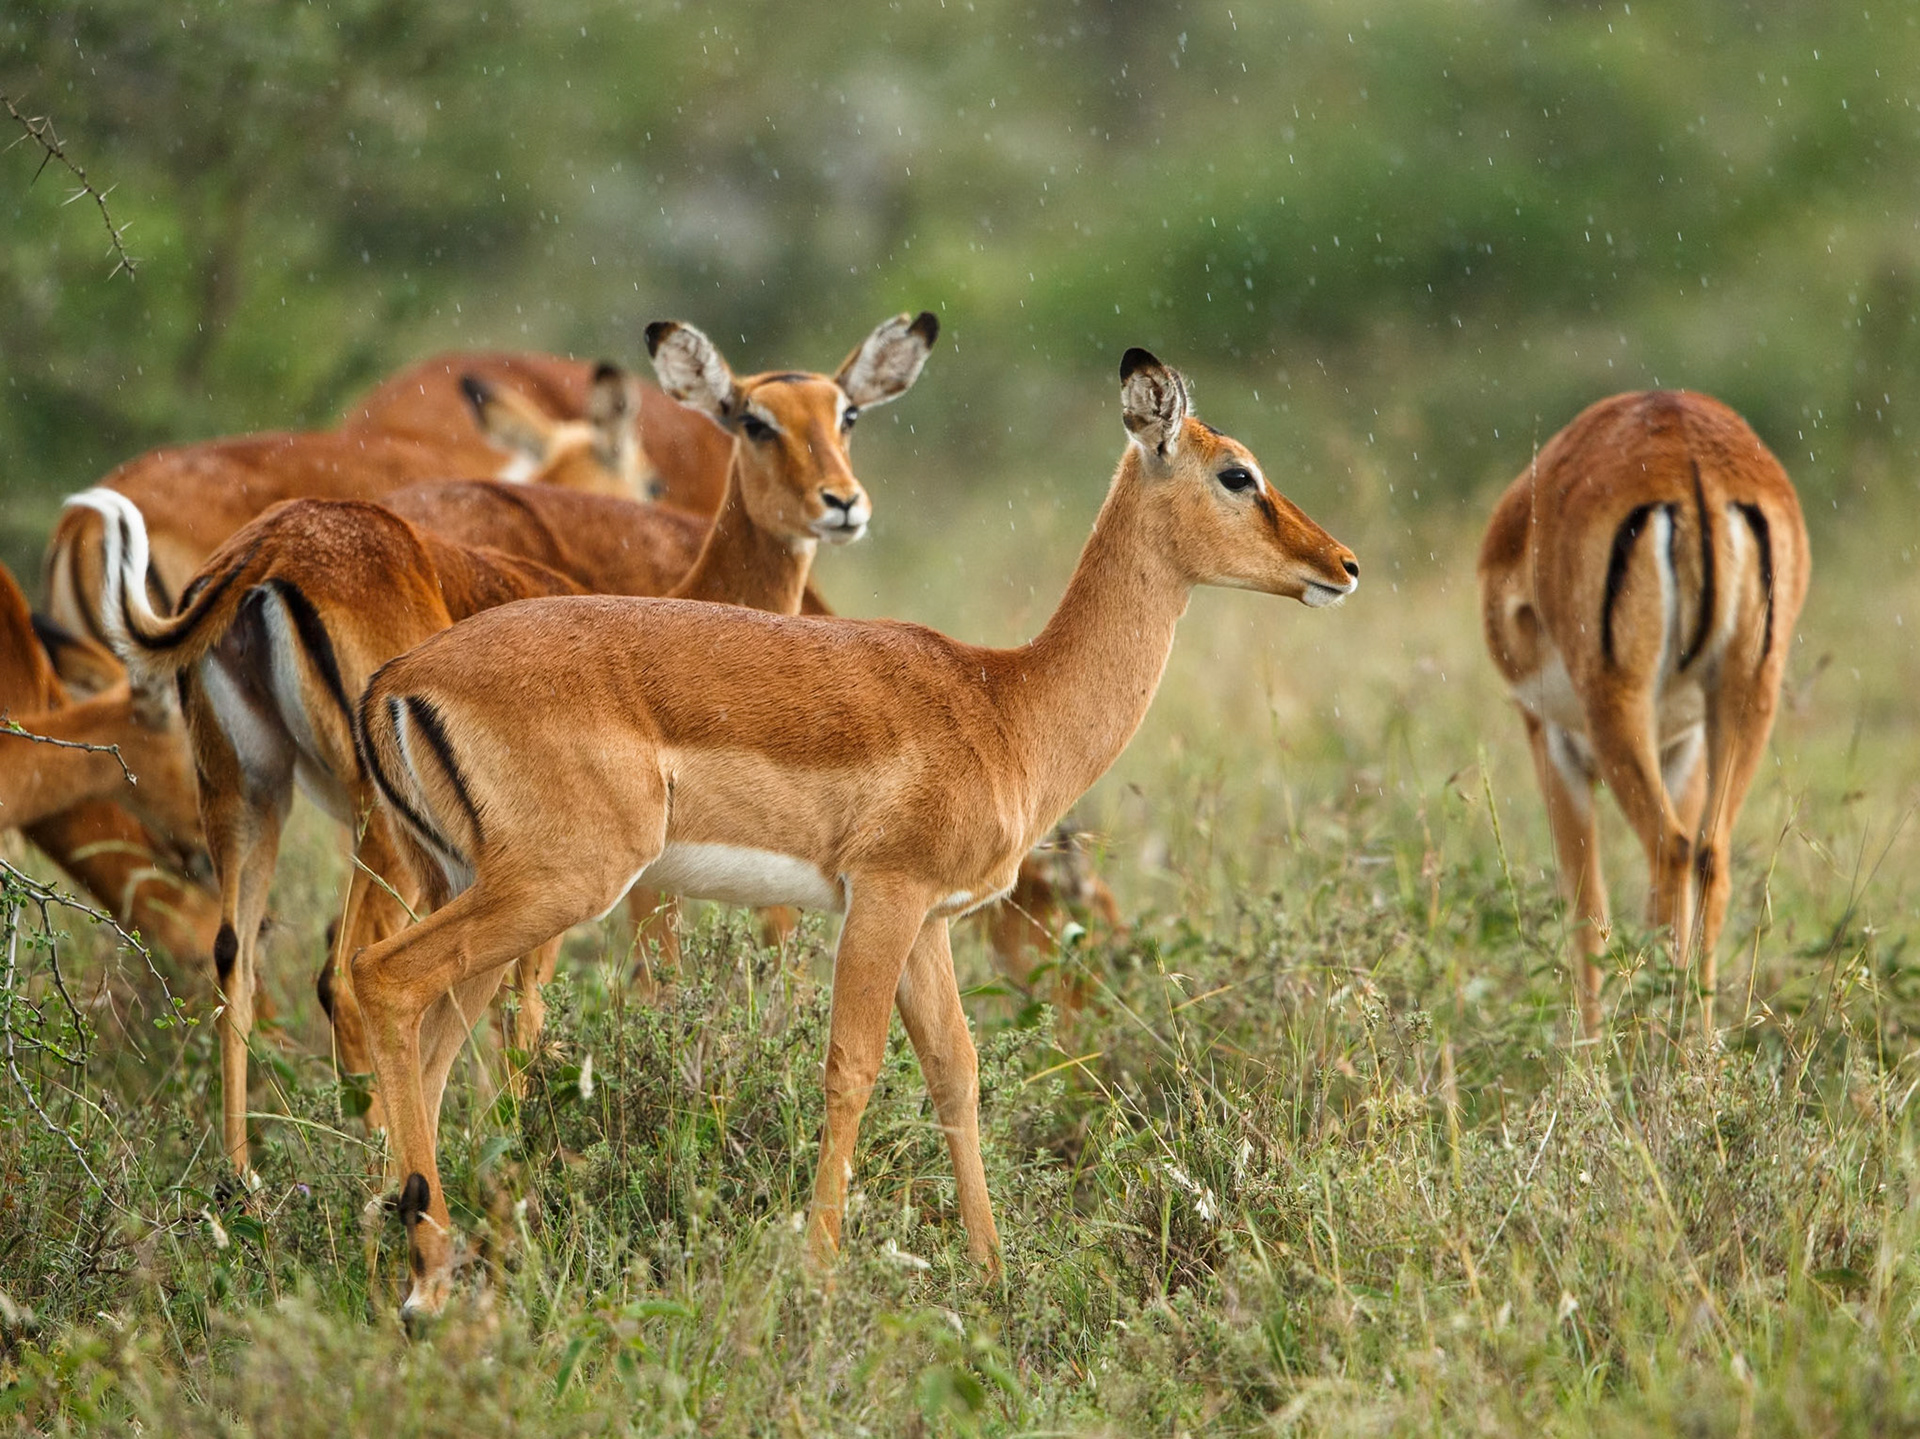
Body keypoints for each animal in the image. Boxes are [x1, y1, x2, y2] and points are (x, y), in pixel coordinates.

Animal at [1478, 389, 1809, 1037]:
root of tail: (1689, 454)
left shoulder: (1551, 740)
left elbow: (1587, 903)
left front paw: (1587, 1051)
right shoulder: (1683, 748)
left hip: (1615, 707)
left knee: (1667, 853)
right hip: (1746, 695)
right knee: (1708, 858)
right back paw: (1695, 1045)